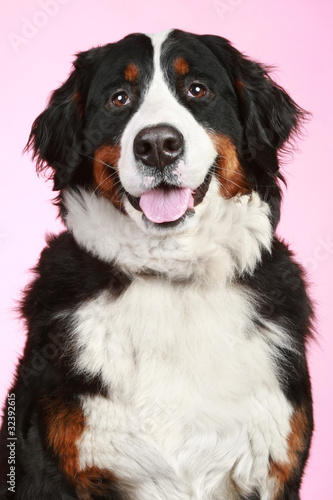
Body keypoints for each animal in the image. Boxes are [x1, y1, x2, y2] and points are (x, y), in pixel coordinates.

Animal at [0, 30, 312, 500]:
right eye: (119, 98)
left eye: (197, 89)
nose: (158, 146)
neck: (171, 277)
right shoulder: (47, 465)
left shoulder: (275, 468)